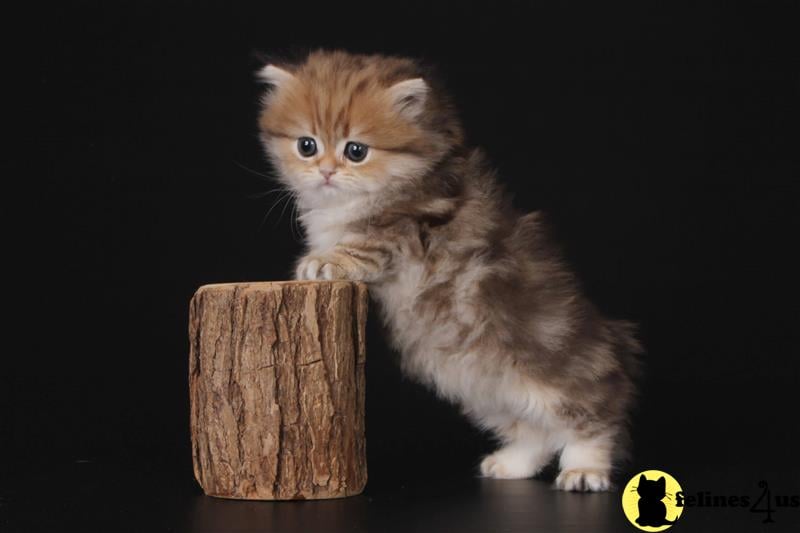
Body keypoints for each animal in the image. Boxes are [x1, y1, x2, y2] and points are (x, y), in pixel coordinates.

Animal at [260, 50, 640, 490]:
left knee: (596, 413)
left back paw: (584, 469)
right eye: (307, 146)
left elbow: (361, 248)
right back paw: (511, 465)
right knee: (536, 432)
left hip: (555, 372)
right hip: (482, 387)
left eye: (356, 151)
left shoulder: (403, 232)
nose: (325, 171)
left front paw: (321, 262)